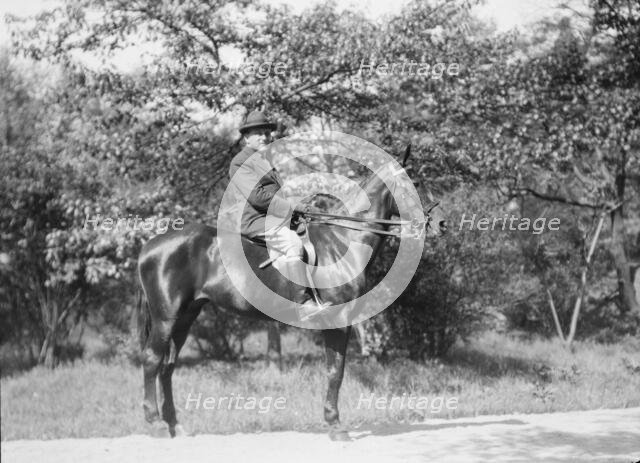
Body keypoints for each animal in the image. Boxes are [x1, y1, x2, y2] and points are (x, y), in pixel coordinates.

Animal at [136, 157, 447, 440]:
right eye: (413, 183)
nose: (442, 223)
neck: (342, 240)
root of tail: (151, 245)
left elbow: (336, 370)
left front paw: (332, 422)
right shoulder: (337, 321)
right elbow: (335, 371)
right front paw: (335, 426)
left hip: (186, 316)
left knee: (168, 365)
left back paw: (174, 425)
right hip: (166, 317)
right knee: (152, 359)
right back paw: (155, 424)